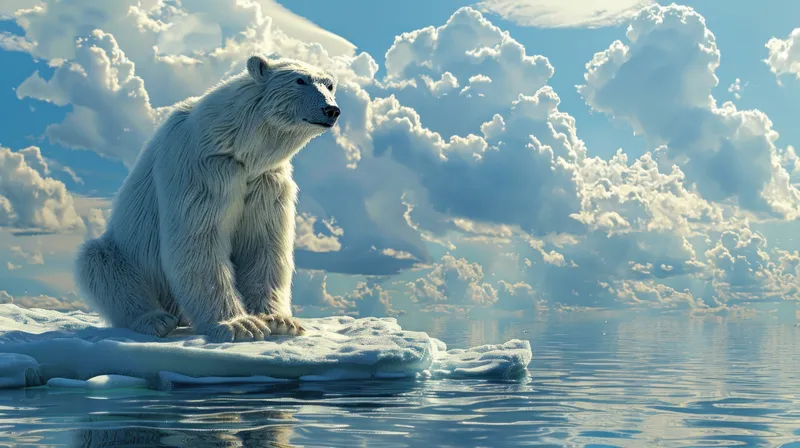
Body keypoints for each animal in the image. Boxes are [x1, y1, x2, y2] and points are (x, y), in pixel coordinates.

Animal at [74, 55, 341, 343]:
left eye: (330, 85)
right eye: (299, 80)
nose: (331, 110)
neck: (237, 145)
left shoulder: (265, 180)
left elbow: (263, 242)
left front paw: (280, 320)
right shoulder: (202, 169)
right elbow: (201, 238)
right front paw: (240, 325)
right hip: (128, 254)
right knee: (102, 265)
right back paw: (155, 319)